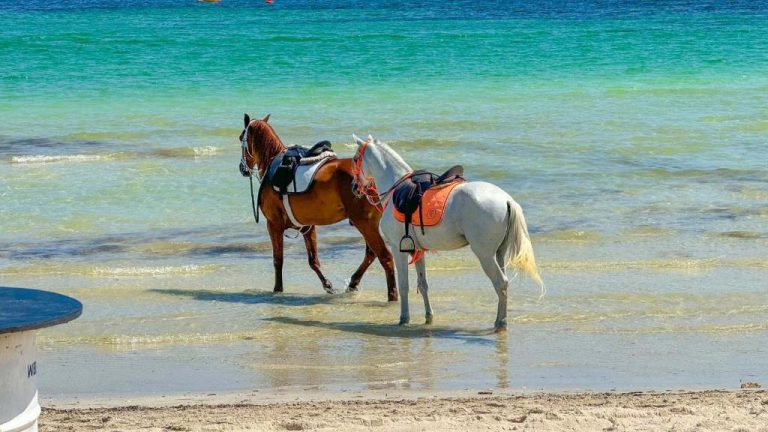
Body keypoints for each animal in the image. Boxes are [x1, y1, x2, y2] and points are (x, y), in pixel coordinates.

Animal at [239, 114, 397, 301]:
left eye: (241, 138)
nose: (242, 168)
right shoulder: (308, 227)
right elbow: (313, 260)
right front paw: (327, 285)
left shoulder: (273, 225)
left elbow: (278, 260)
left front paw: (278, 289)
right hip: (368, 224)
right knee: (371, 254)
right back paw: (353, 282)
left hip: (365, 224)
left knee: (385, 257)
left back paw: (392, 296)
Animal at [350, 134, 543, 330]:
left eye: (354, 159)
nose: (353, 187)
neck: (396, 188)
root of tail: (506, 200)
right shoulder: (417, 251)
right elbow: (423, 284)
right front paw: (428, 317)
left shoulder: (398, 250)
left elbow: (404, 286)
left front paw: (404, 318)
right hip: (499, 253)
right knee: (503, 283)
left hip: (485, 255)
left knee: (500, 283)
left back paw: (500, 322)